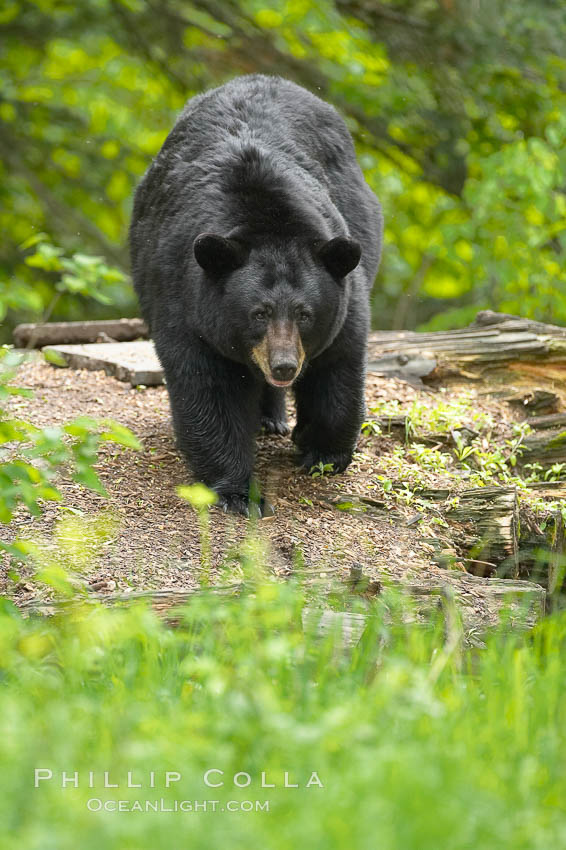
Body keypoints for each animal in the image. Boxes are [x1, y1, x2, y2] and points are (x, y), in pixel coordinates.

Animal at [131, 74, 384, 510]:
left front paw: (323, 452)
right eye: (258, 313)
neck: (269, 218)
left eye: (305, 313)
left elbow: (338, 364)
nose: (284, 366)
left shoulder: (346, 296)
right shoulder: (185, 297)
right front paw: (236, 490)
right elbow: (208, 387)